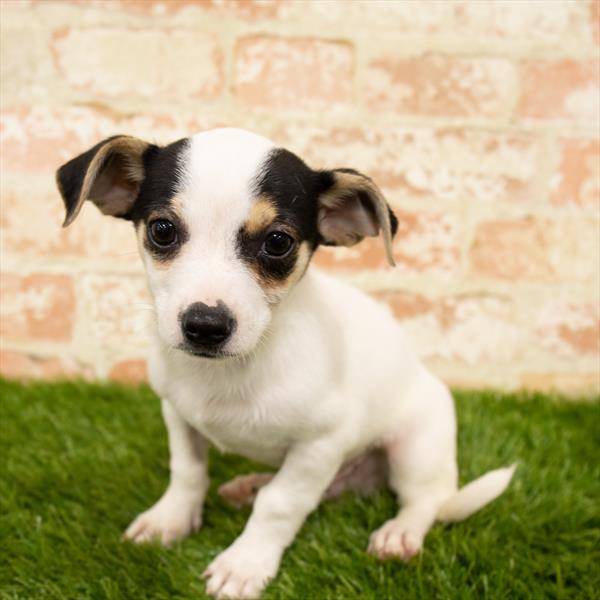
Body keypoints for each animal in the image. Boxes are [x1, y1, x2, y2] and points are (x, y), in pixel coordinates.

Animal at [57, 129, 516, 596]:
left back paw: (398, 532)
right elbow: (187, 472)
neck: (232, 369)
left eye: (278, 242)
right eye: (162, 230)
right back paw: (249, 486)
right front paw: (170, 519)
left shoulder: (321, 444)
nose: (205, 325)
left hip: (416, 446)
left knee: (424, 500)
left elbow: (280, 504)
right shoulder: (178, 415)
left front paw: (244, 564)